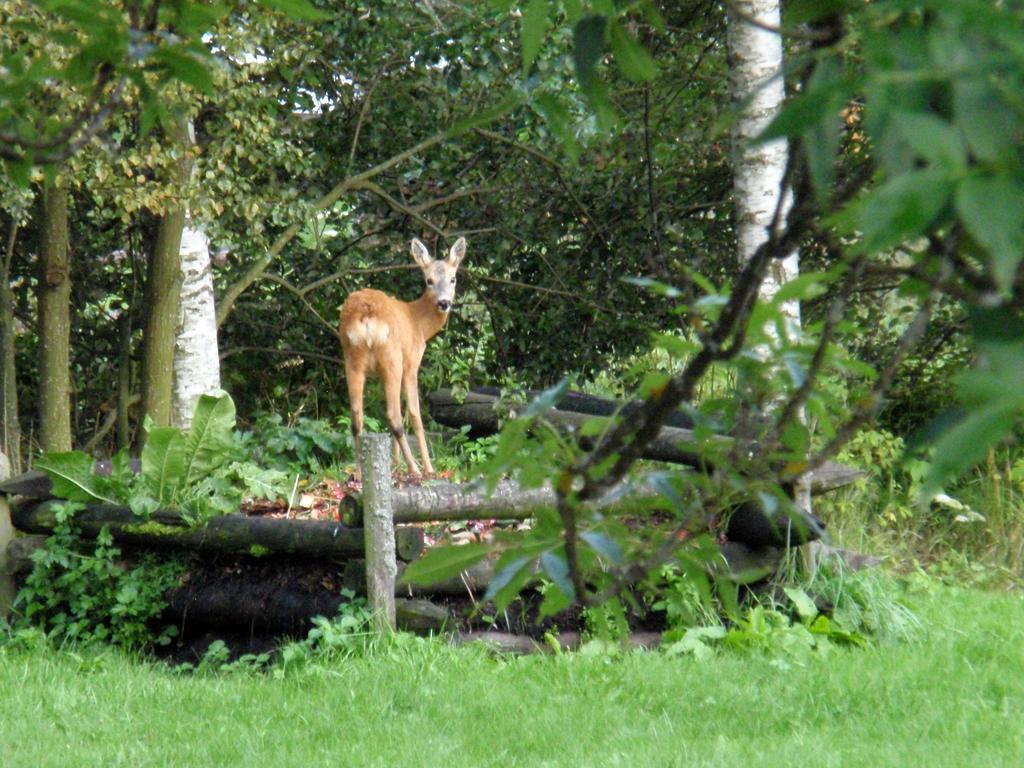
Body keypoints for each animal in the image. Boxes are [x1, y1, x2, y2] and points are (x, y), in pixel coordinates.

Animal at [337, 237, 466, 479]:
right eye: (429, 280)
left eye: (453, 278)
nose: (444, 303)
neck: (420, 324)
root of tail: (366, 315)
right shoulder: (412, 362)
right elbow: (414, 413)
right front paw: (428, 467)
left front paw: (395, 465)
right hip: (392, 358)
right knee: (394, 416)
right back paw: (415, 469)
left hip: (352, 359)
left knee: (357, 417)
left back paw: (359, 472)